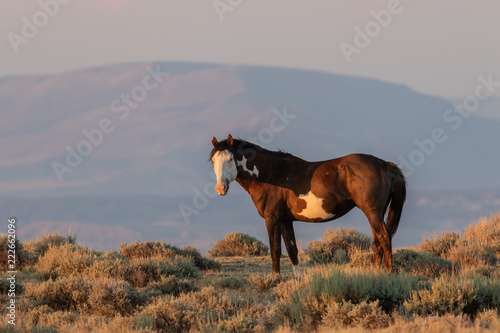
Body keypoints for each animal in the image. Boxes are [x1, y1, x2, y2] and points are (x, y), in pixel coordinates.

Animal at [209, 134, 404, 274]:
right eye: (213, 160)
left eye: (230, 159)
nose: (220, 188)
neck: (270, 173)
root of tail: (385, 165)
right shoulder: (286, 220)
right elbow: (292, 251)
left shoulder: (272, 219)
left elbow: (275, 251)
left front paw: (275, 278)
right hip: (375, 214)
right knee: (377, 241)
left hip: (373, 212)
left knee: (384, 238)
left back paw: (387, 273)